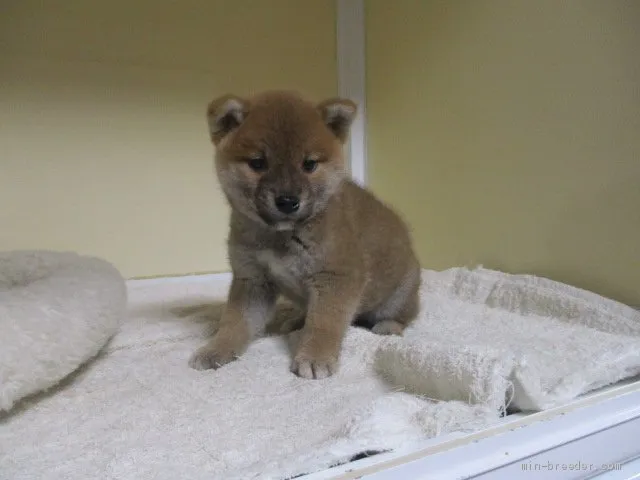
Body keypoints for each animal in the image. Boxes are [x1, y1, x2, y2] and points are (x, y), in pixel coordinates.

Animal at [189, 88, 420, 376]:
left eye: (309, 164)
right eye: (258, 163)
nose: (288, 201)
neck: (281, 237)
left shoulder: (336, 277)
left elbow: (324, 324)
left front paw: (315, 357)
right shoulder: (252, 279)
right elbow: (235, 322)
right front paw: (216, 349)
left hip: (398, 296)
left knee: (407, 314)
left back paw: (389, 326)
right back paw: (297, 320)